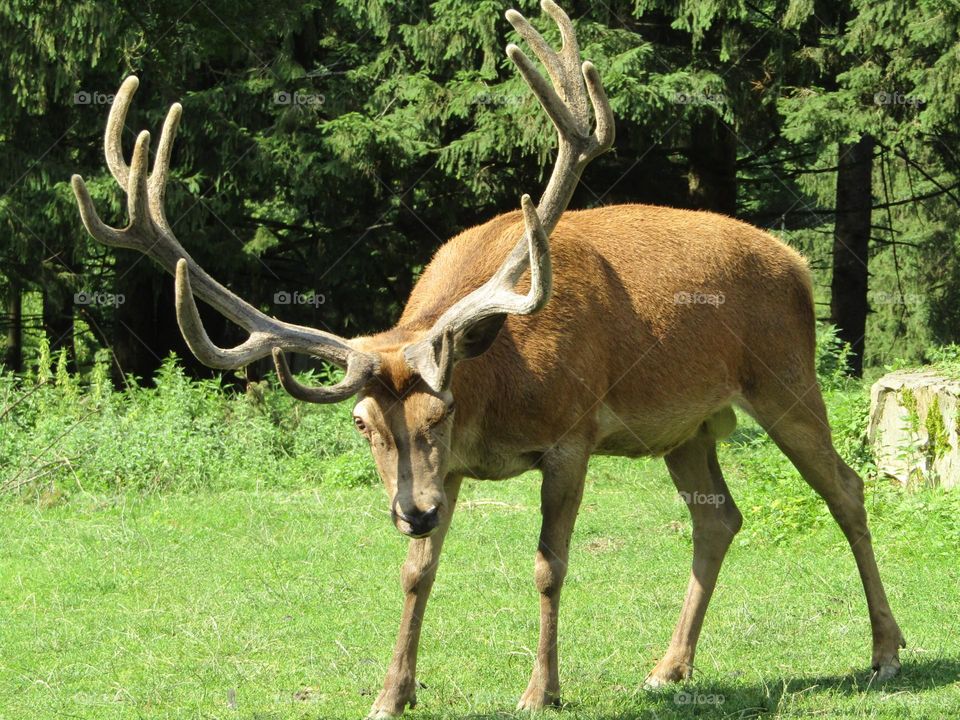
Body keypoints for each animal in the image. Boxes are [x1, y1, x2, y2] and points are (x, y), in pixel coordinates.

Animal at [72, 1, 905, 717]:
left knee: (848, 488)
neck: (496, 393)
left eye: (440, 411)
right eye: (362, 426)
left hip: (786, 374)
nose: (411, 510)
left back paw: (887, 650)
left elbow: (548, 564)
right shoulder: (450, 475)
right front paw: (392, 693)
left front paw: (541, 690)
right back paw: (670, 667)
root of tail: (797, 263)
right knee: (719, 517)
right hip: (690, 426)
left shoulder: (572, 433)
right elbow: (418, 572)